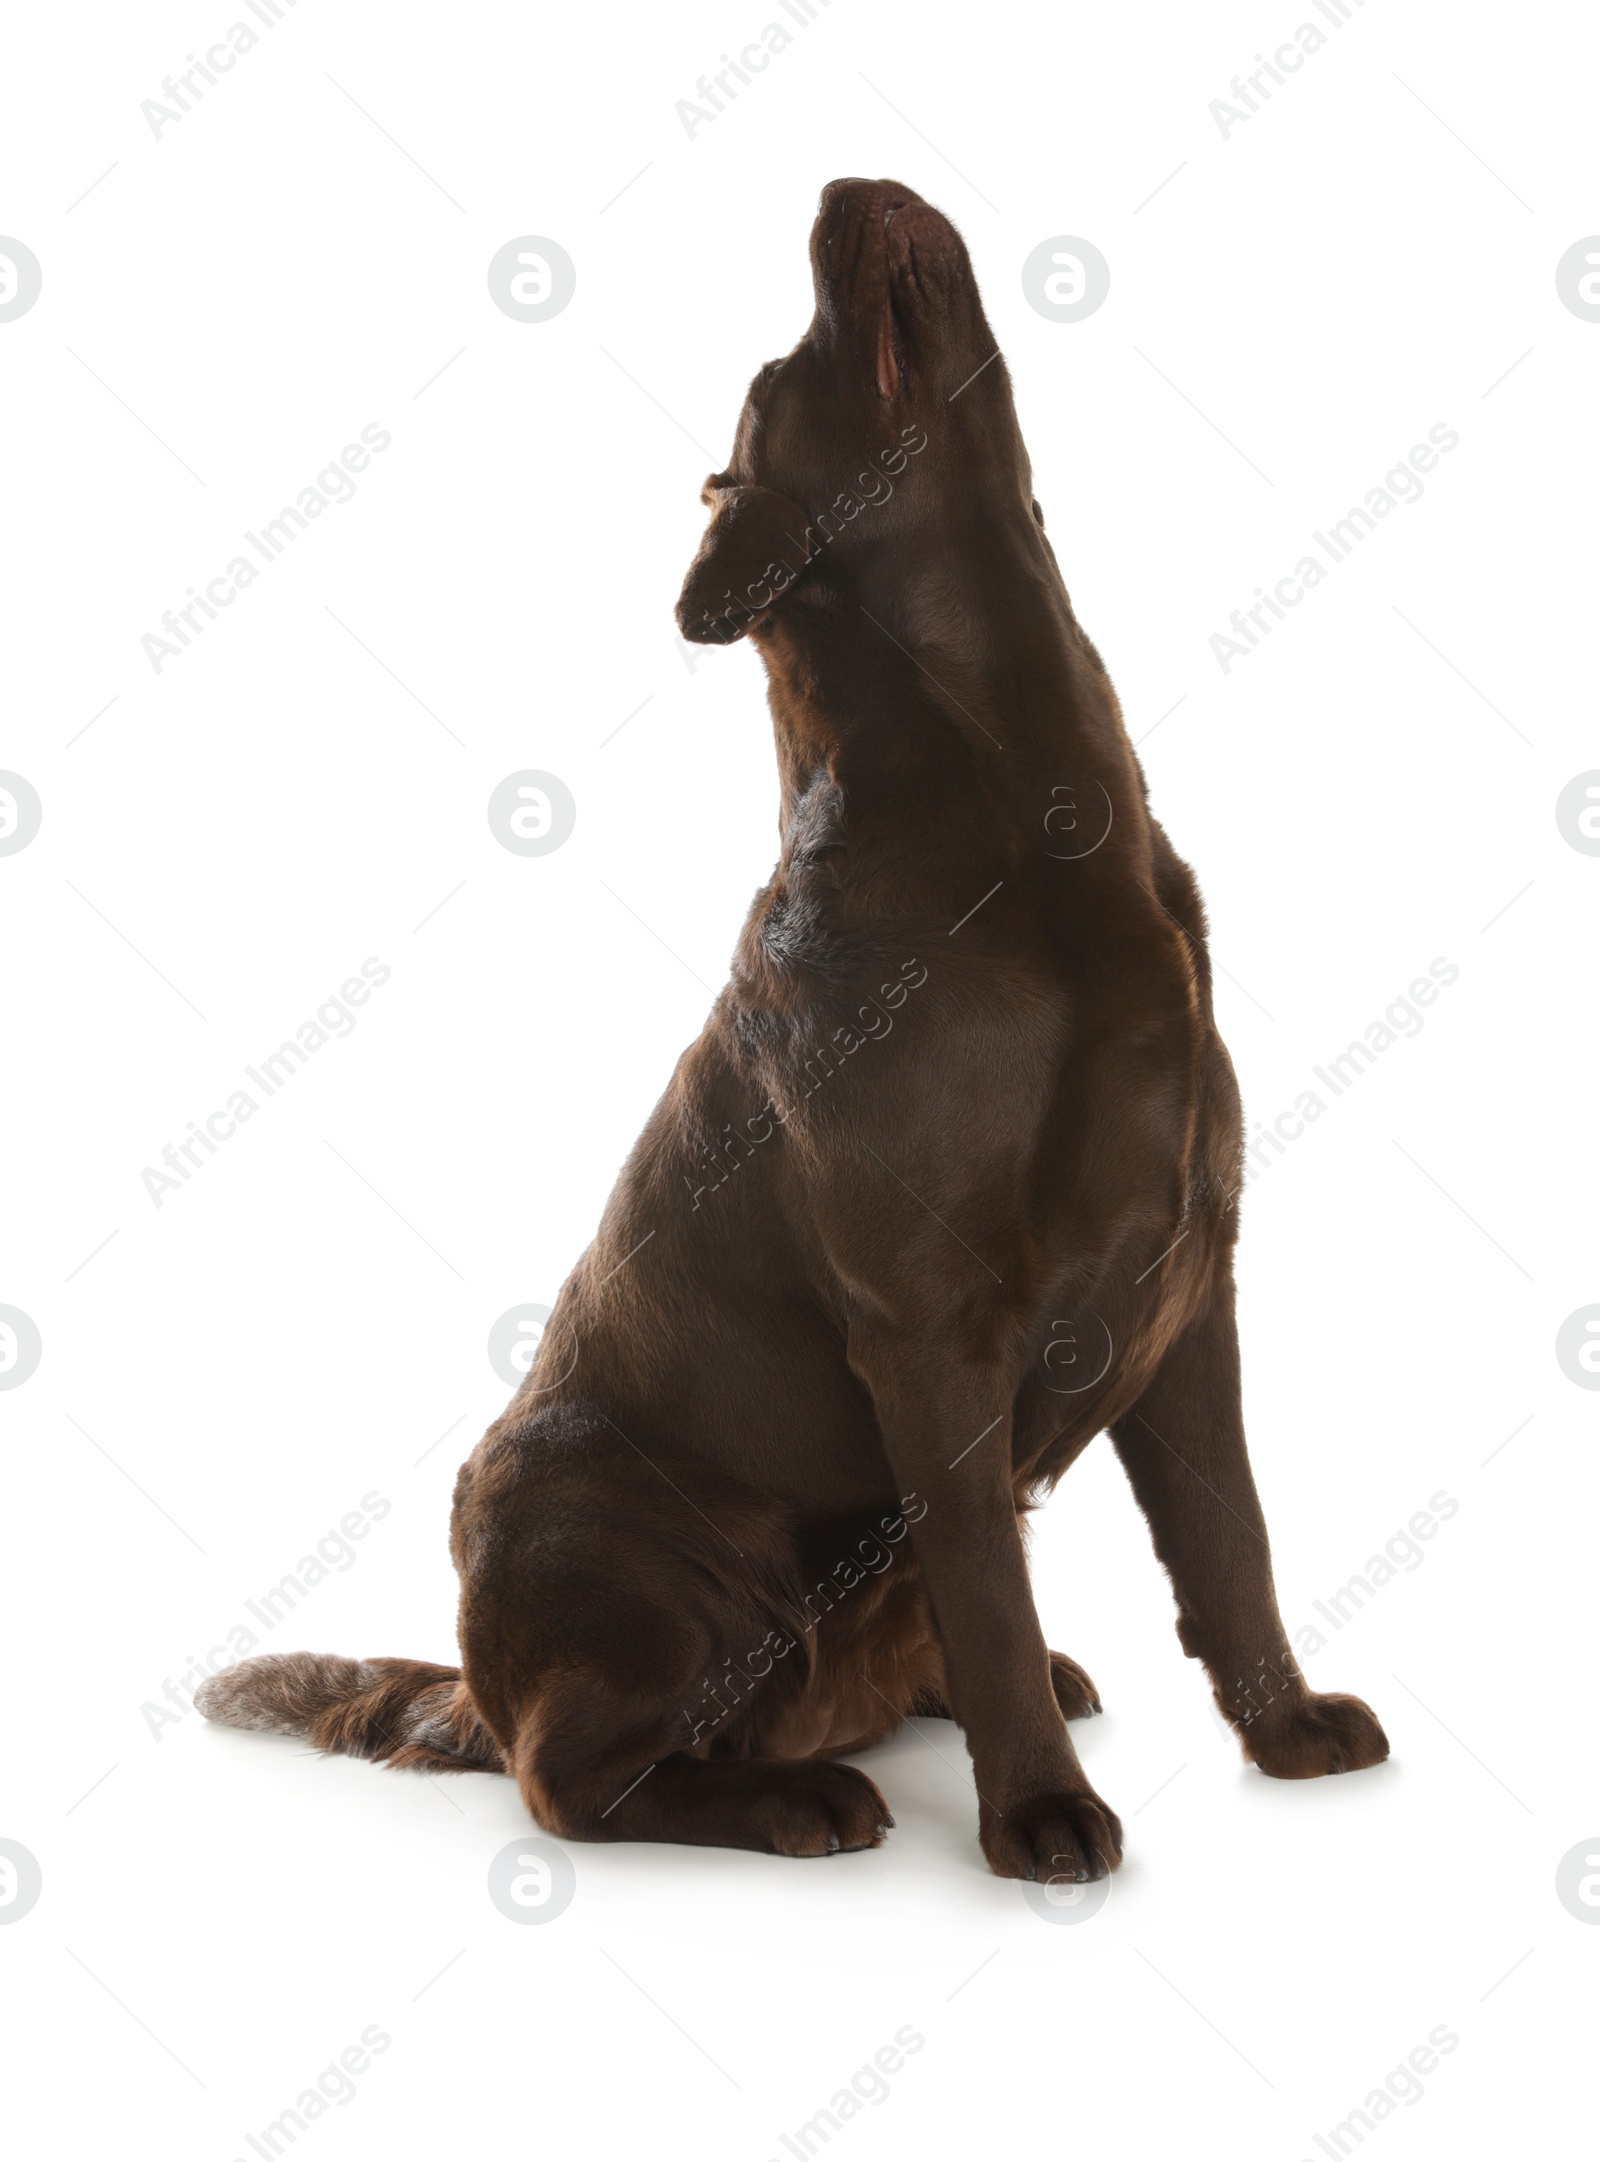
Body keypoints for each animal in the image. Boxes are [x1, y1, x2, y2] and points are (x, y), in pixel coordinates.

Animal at [199, 177, 1383, 1885]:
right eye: (790, 359)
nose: (840, 191)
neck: (1030, 815)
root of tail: (479, 1685)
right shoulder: (928, 1325)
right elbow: (987, 1580)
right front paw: (1041, 1820)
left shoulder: (1189, 1281)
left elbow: (1232, 1539)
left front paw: (1286, 1732)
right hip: (619, 1542)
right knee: (579, 1776)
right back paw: (799, 1795)